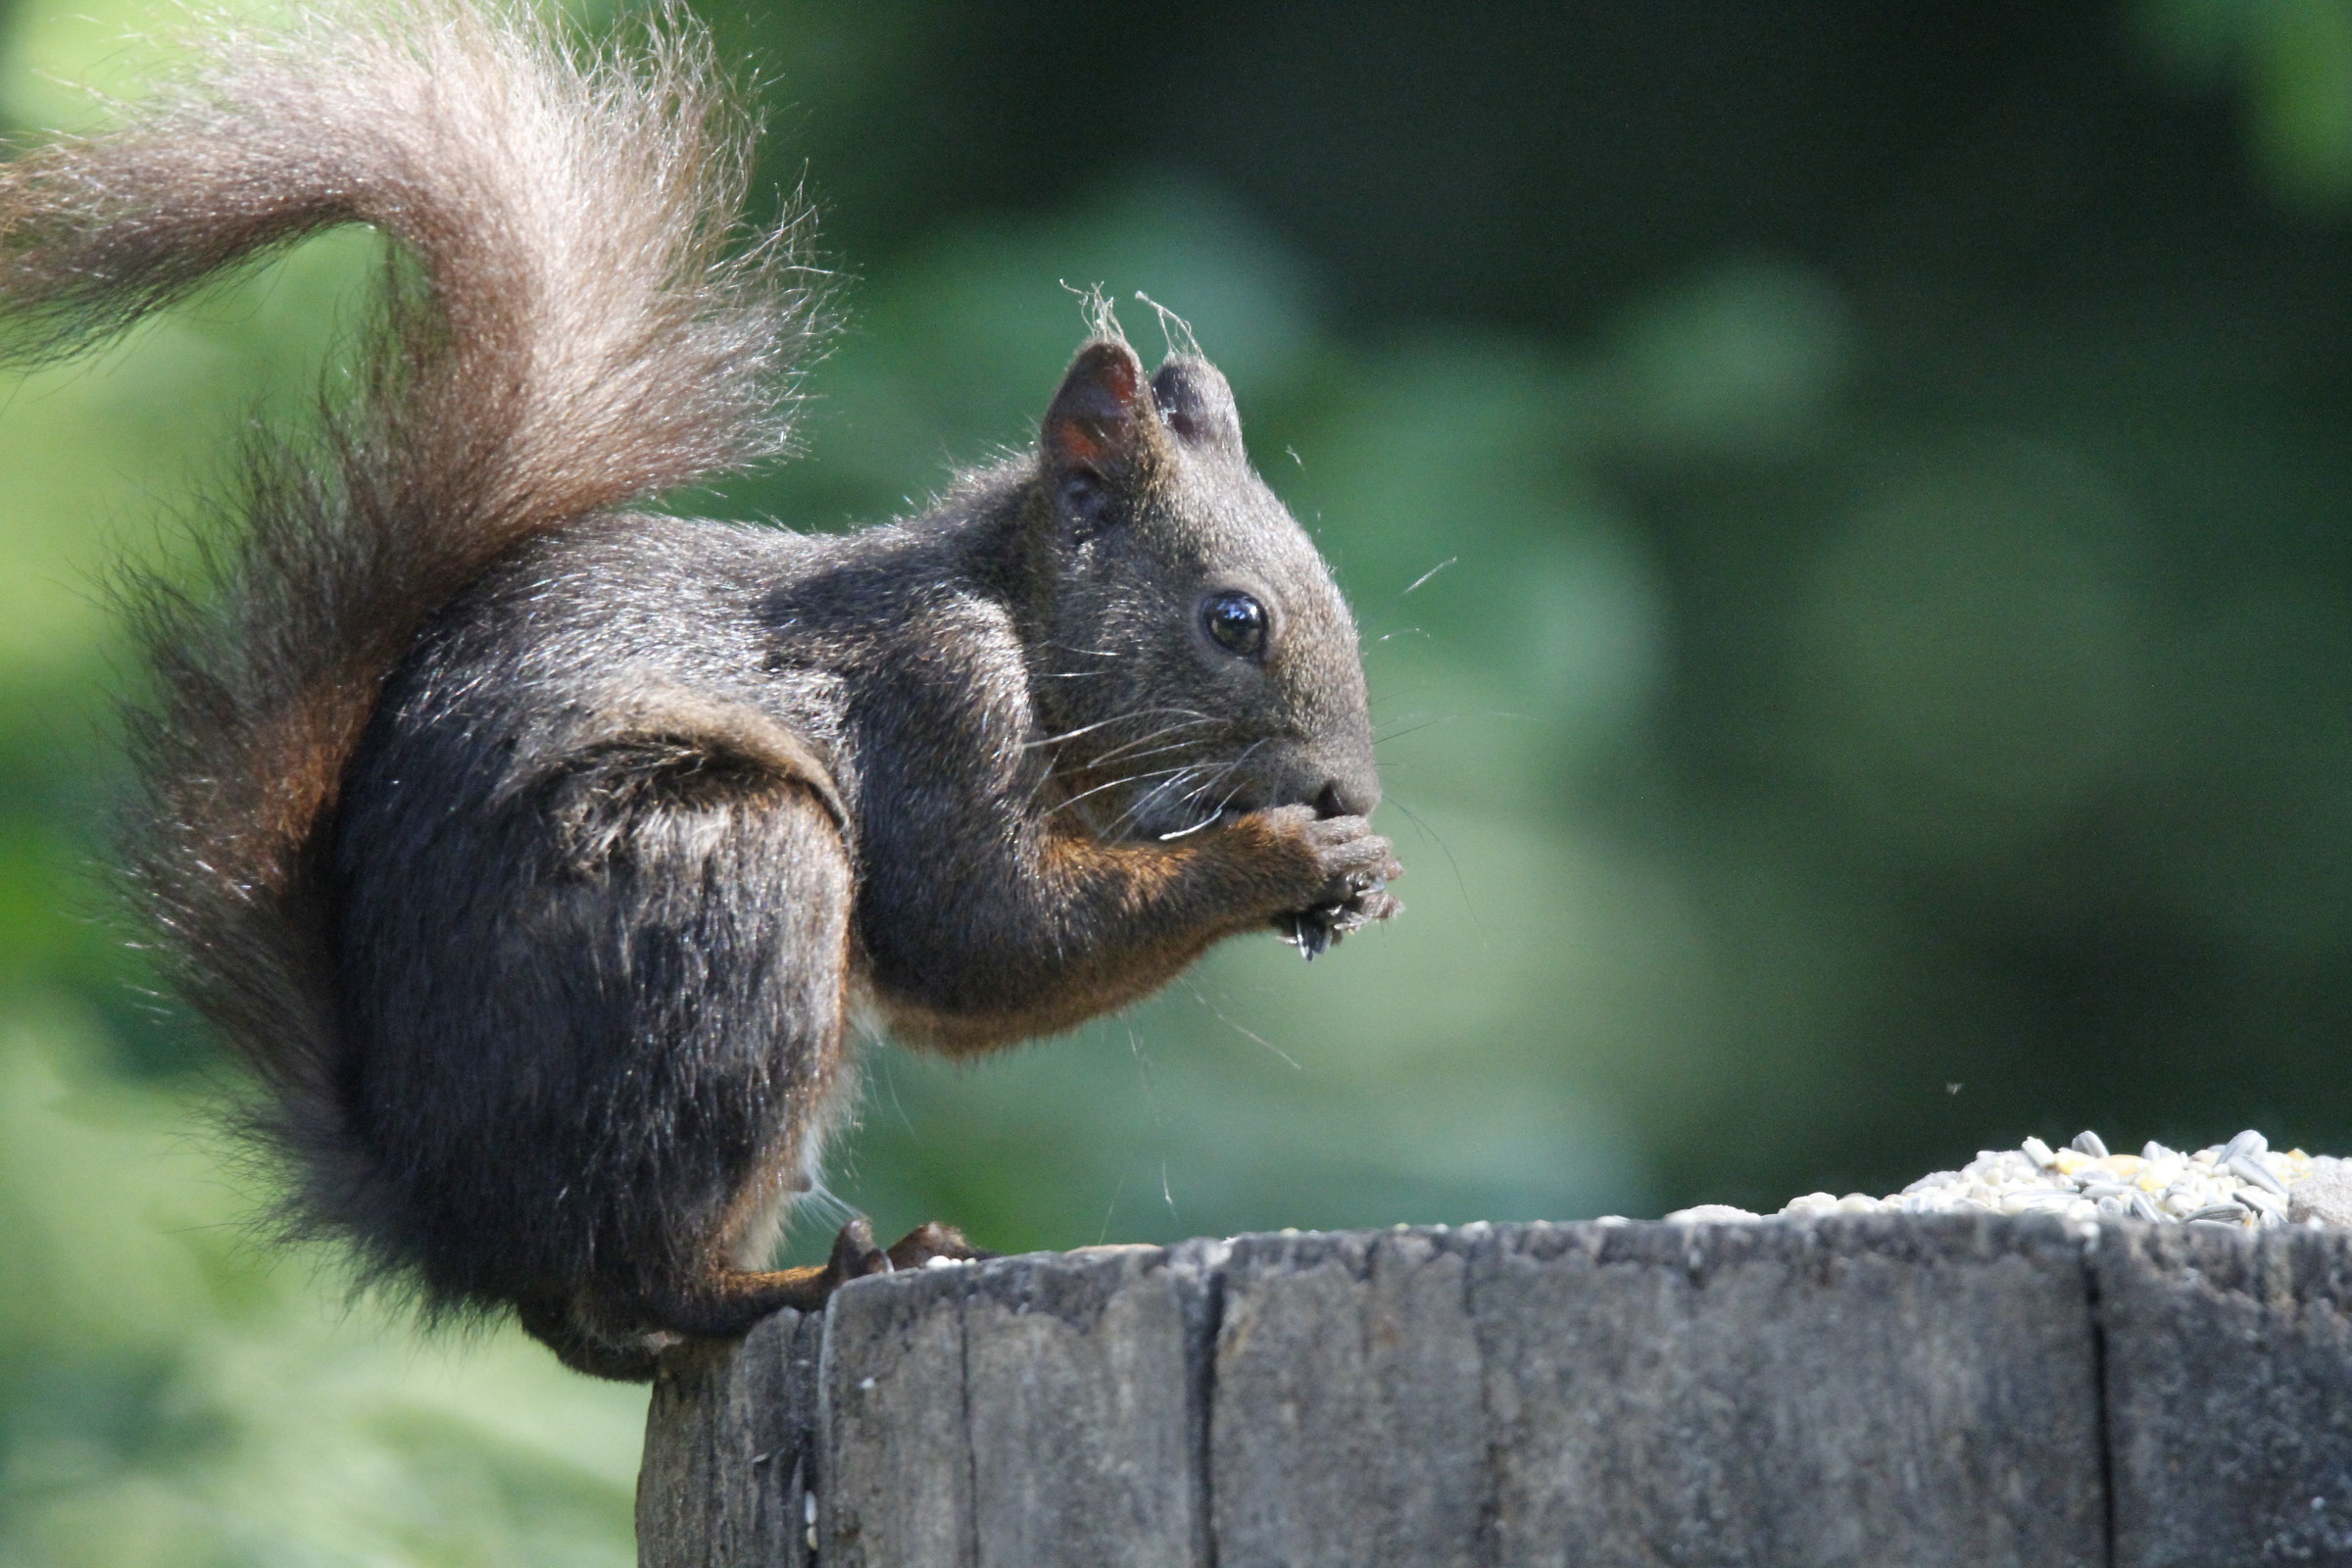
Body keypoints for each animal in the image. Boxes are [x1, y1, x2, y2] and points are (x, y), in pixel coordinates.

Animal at [0, 0, 1400, 1380]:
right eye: (1236, 619)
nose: (1352, 789)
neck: (1011, 608)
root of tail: (439, 1207)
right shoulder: (935, 700)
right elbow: (984, 937)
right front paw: (1286, 854)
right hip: (733, 887)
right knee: (638, 1275)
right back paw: (817, 1276)